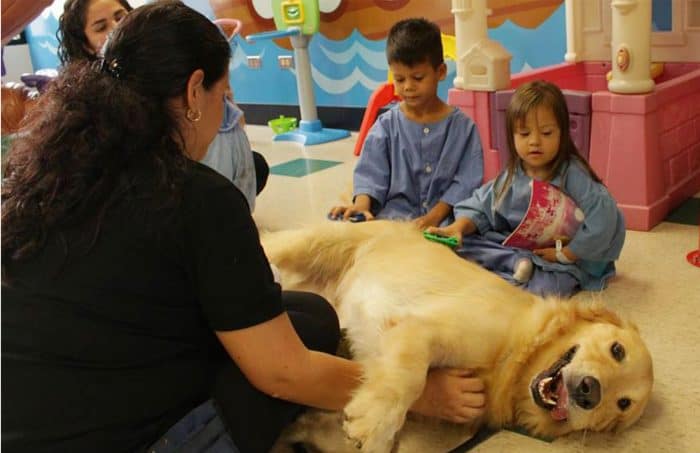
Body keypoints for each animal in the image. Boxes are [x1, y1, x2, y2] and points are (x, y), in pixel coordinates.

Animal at [260, 221, 652, 450]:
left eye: (623, 404)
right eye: (617, 350)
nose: (589, 391)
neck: (515, 356)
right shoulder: (424, 330)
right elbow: (408, 379)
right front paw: (373, 420)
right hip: (310, 244)